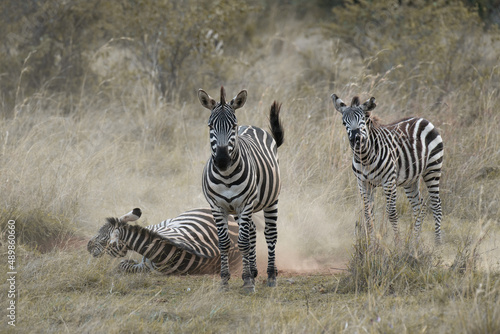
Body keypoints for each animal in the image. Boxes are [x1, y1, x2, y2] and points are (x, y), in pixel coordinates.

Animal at [197, 87, 284, 292]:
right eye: (210, 126)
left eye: (233, 126)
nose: (222, 161)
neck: (226, 176)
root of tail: (252, 126)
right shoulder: (217, 206)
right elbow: (223, 243)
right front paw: (225, 280)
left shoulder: (245, 204)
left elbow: (243, 242)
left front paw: (247, 281)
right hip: (238, 210)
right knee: (252, 231)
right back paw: (254, 271)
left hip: (271, 200)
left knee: (270, 234)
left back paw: (271, 275)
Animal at [330, 92, 444, 244]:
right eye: (344, 123)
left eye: (363, 120)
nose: (356, 139)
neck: (365, 158)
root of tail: (422, 119)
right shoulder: (363, 183)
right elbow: (367, 213)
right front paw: (371, 243)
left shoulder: (388, 181)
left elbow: (391, 213)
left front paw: (397, 242)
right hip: (411, 179)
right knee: (419, 206)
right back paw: (414, 241)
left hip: (433, 168)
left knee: (436, 205)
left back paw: (437, 243)